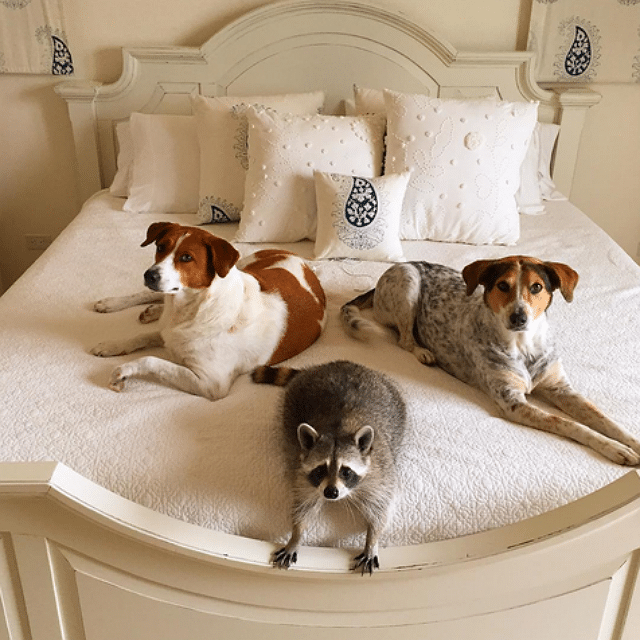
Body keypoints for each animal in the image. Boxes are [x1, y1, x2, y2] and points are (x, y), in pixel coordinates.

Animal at [91, 222, 324, 398]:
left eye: (186, 257)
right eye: (160, 247)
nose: (149, 275)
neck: (193, 307)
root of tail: (303, 262)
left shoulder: (211, 383)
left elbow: (152, 359)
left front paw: (122, 371)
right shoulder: (169, 332)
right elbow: (139, 337)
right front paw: (112, 345)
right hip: (245, 268)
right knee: (150, 295)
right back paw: (114, 303)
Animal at [251, 360, 404, 576]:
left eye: (346, 471)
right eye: (320, 470)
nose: (331, 492)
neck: (338, 430)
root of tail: (333, 365)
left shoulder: (379, 474)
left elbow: (380, 510)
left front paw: (372, 540)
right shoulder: (302, 474)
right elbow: (303, 507)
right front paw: (296, 536)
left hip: (395, 402)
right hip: (291, 405)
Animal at [342, 255, 640, 464]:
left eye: (536, 287)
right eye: (502, 286)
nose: (519, 317)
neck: (524, 347)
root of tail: (401, 265)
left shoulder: (561, 389)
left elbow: (603, 419)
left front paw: (630, 442)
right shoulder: (512, 402)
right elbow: (571, 424)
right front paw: (614, 448)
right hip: (408, 283)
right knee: (404, 338)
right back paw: (423, 351)